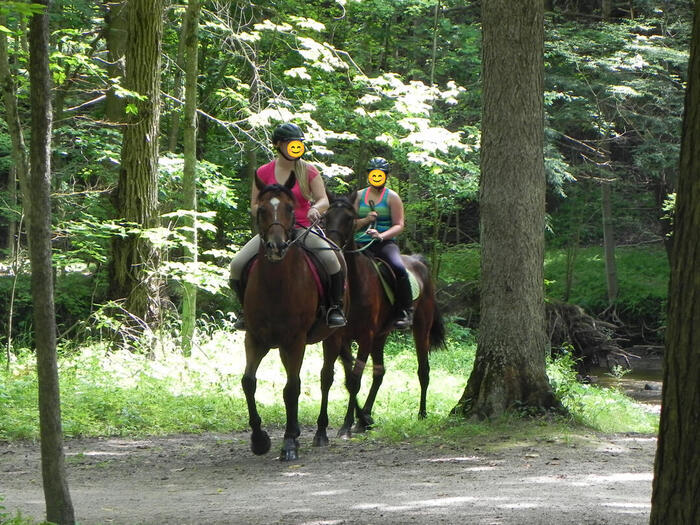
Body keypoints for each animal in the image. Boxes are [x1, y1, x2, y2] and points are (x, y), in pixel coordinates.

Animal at [241, 173, 350, 458]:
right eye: (262, 209)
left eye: (290, 208)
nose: (276, 246)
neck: (276, 284)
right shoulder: (254, 338)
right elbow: (248, 382)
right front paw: (259, 440)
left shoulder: (295, 340)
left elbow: (292, 388)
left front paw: (289, 442)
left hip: (333, 336)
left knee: (326, 378)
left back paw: (320, 433)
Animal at [316, 192, 442, 438]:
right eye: (326, 217)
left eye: (349, 218)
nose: (333, 248)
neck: (356, 285)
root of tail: (419, 261)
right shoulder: (341, 337)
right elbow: (344, 378)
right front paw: (356, 421)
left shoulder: (365, 336)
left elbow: (355, 380)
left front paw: (346, 426)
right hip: (381, 336)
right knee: (379, 372)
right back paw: (365, 416)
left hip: (420, 328)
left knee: (423, 370)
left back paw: (422, 413)